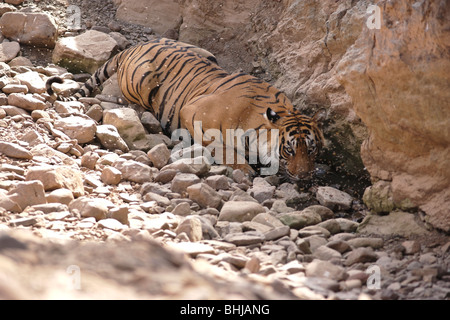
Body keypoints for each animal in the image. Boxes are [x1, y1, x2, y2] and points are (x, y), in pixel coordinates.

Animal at [47, 36, 326, 181]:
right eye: (289, 150)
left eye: (312, 149)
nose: (305, 177)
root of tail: (132, 47)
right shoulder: (193, 113)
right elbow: (219, 145)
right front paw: (244, 168)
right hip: (144, 79)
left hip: (206, 53)